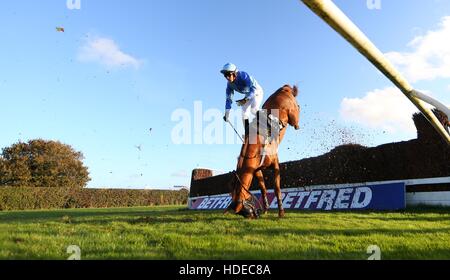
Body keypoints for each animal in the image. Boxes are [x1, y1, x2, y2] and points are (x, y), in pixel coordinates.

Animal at [227, 85, 300, 219]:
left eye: (245, 211)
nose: (254, 216)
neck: (255, 148)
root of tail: (284, 88)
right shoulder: (256, 170)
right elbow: (263, 188)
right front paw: (266, 209)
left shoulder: (275, 162)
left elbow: (277, 188)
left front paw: (281, 212)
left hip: (292, 114)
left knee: (296, 116)